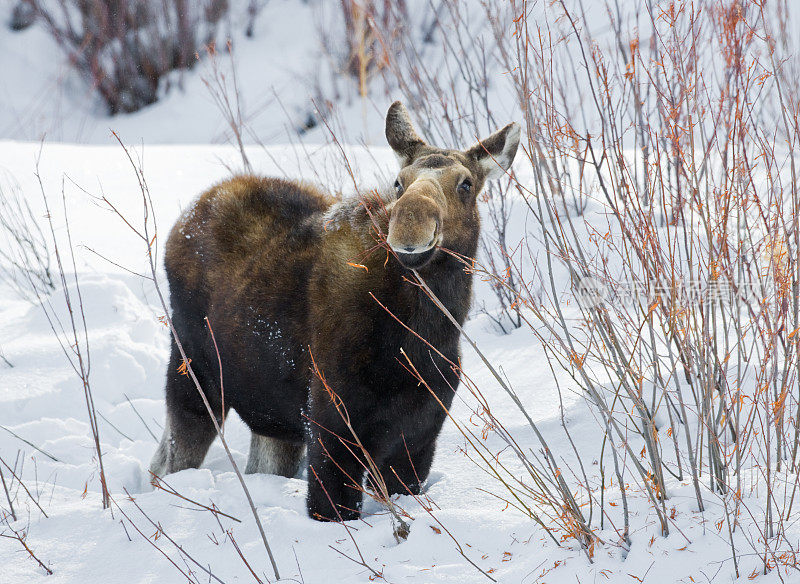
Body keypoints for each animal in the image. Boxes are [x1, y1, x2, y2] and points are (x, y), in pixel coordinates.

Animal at [151, 100, 520, 520]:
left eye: (466, 184)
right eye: (399, 181)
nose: (410, 225)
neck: (423, 334)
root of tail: (187, 216)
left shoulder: (418, 438)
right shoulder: (331, 428)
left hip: (270, 417)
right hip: (193, 373)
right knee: (167, 461)